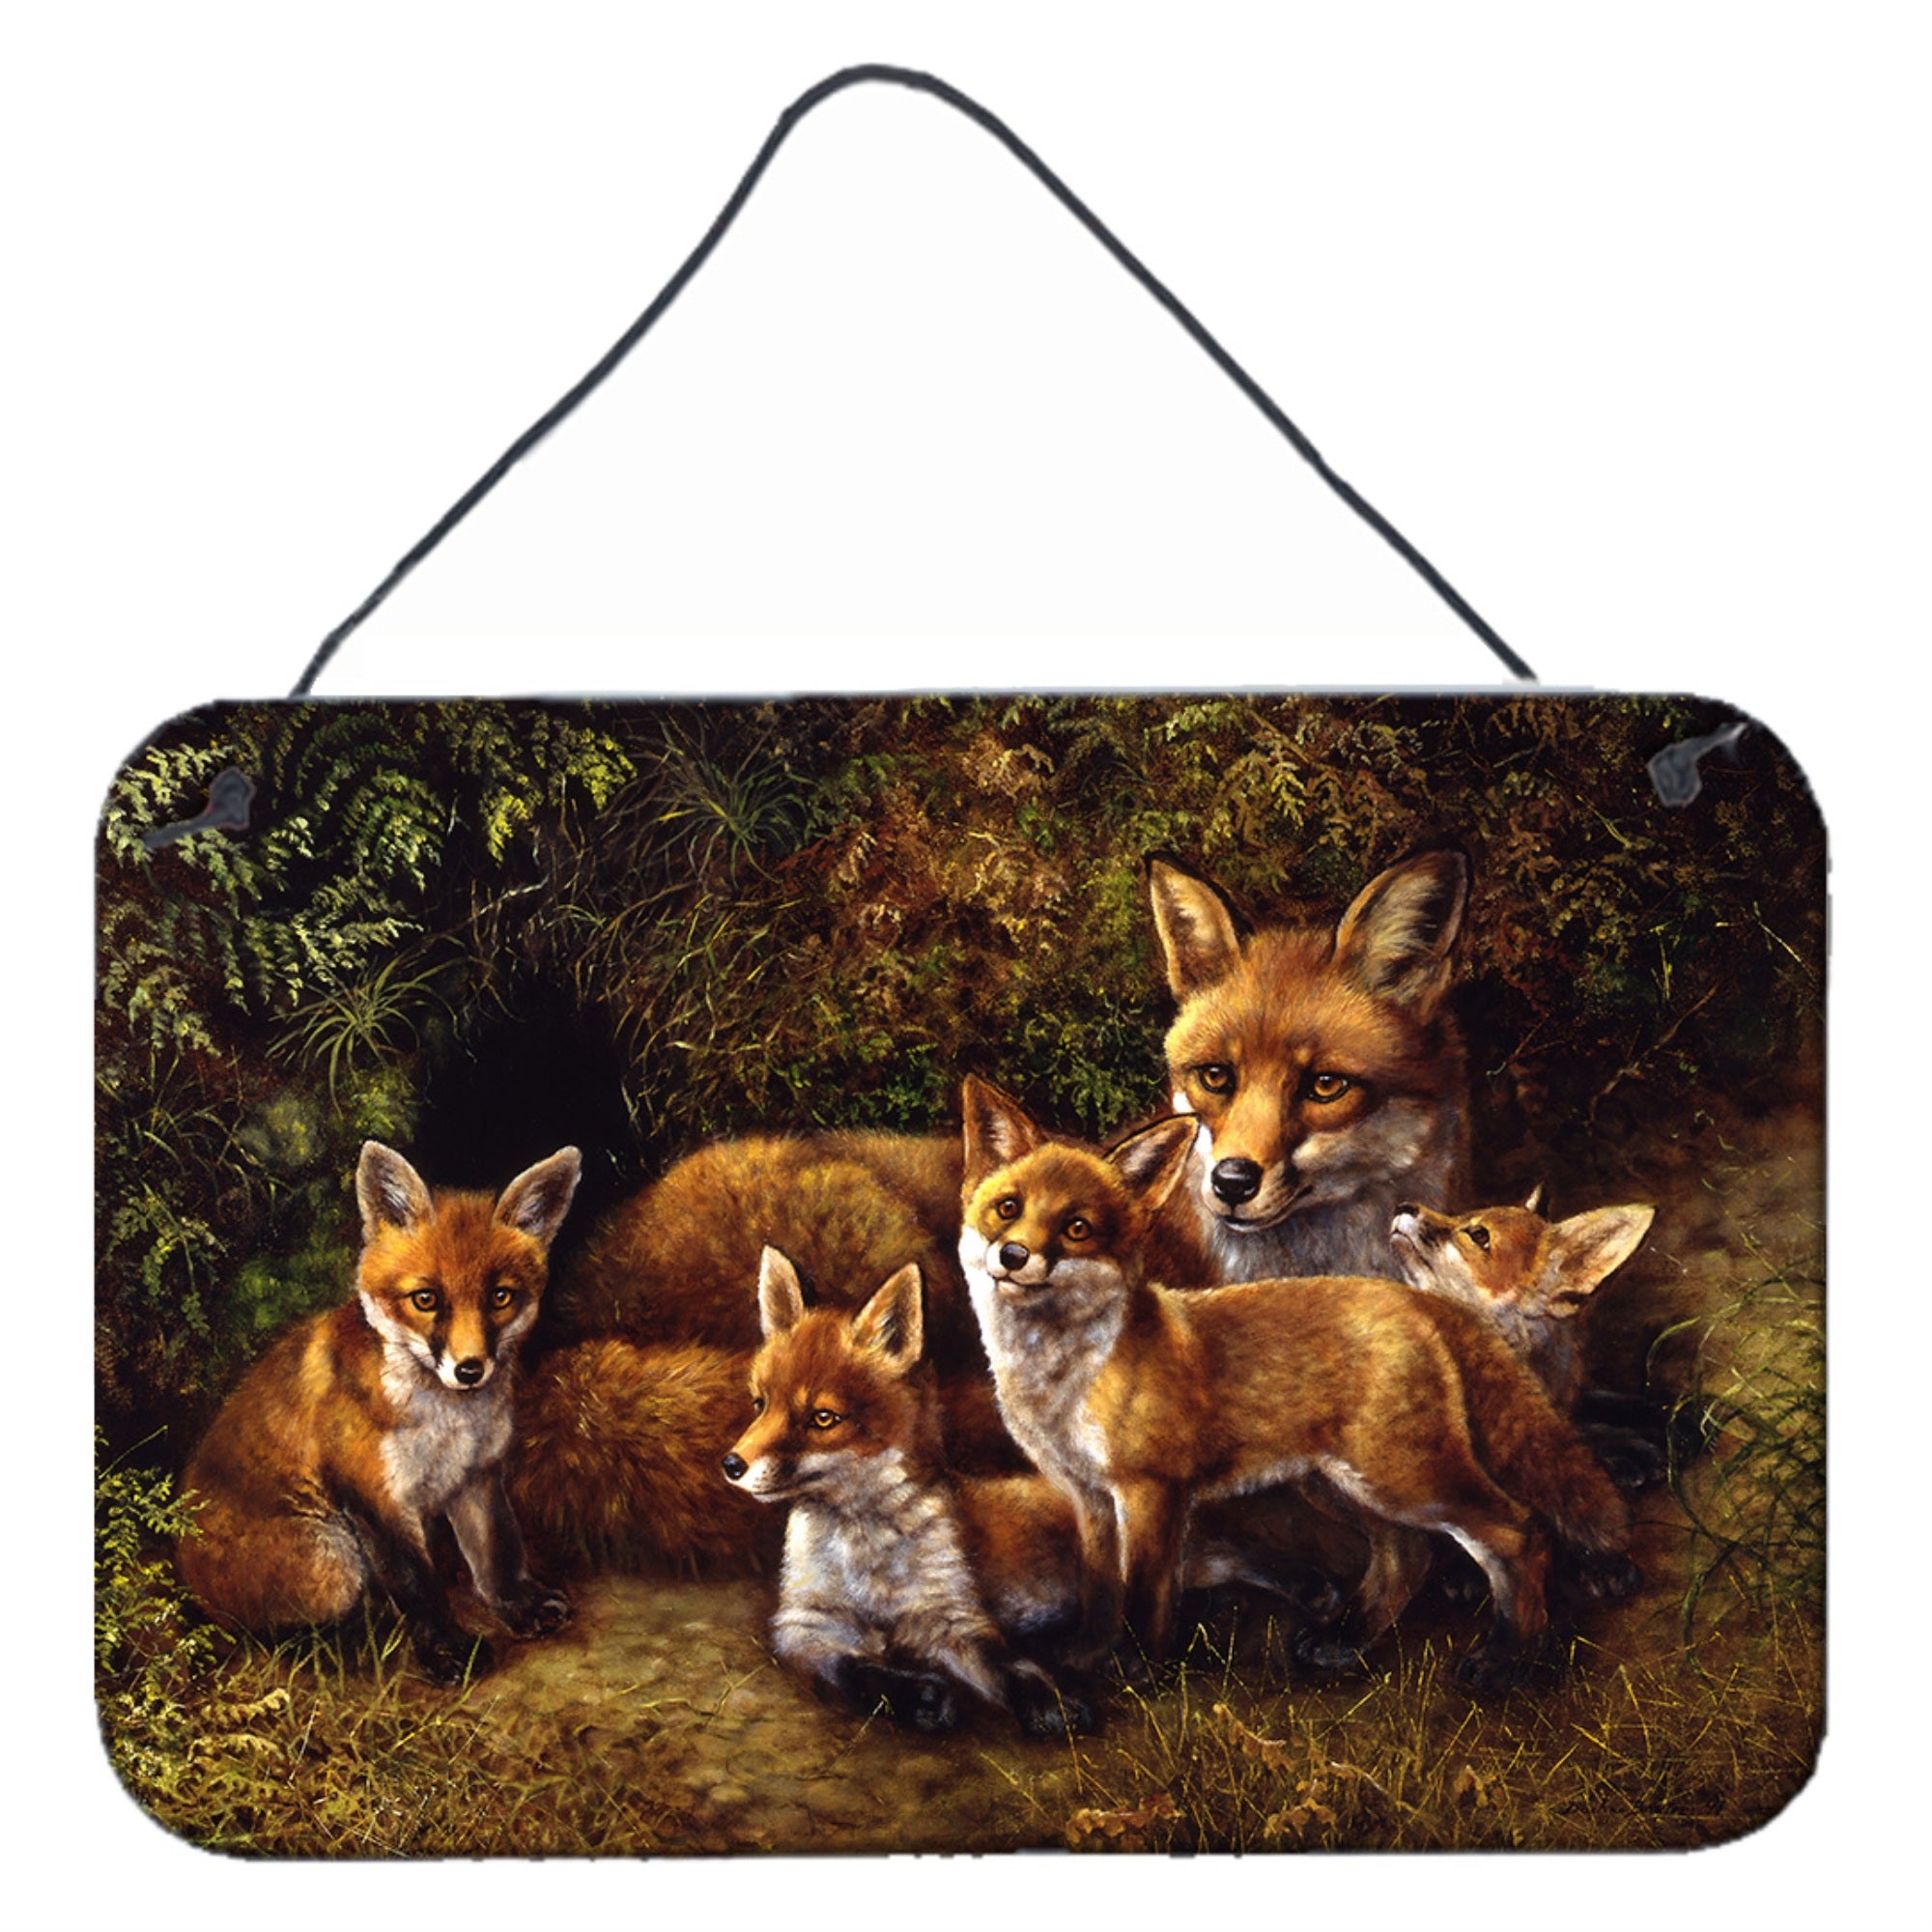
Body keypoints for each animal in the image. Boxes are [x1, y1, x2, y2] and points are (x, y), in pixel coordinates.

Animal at [176, 1142, 581, 1684]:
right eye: (425, 1299)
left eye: (501, 1297)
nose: (470, 1369)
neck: (449, 1422)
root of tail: (183, 1569)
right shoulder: (375, 1496)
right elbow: (418, 1585)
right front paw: (449, 1652)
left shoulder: (477, 1475)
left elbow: (497, 1551)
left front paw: (519, 1604)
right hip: (333, 1557)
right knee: (265, 1631)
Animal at [957, 1078, 1636, 1692]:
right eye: (1008, 1208)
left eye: (1077, 1228)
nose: (1013, 1256)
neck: (1067, 1376)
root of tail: (1415, 1298)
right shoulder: (1090, 1499)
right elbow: (1100, 1591)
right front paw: (1088, 1657)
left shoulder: (1152, 1492)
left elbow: (1146, 1594)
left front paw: (1140, 1671)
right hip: (1343, 1485)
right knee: (1407, 1556)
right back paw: (1348, 1640)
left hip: (1404, 1477)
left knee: (1521, 1532)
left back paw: (1508, 1663)